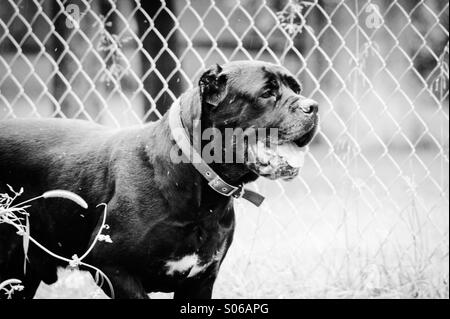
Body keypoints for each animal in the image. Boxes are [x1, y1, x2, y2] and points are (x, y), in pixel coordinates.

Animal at [0, 60, 316, 300]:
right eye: (267, 92)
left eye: (296, 88)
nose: (313, 106)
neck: (203, 193)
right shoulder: (111, 267)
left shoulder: (200, 281)